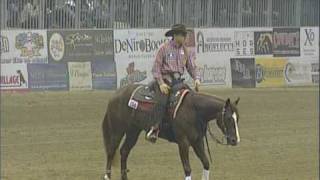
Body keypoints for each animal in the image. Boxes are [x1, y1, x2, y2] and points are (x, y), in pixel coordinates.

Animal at [102, 84, 240, 180]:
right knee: (111, 152)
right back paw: (107, 176)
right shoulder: (183, 142)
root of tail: (115, 95)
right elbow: (187, 169)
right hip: (117, 130)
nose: (235, 140)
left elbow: (206, 163)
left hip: (133, 131)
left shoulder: (197, 141)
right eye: (228, 118)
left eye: (237, 118)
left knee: (124, 151)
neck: (193, 110)